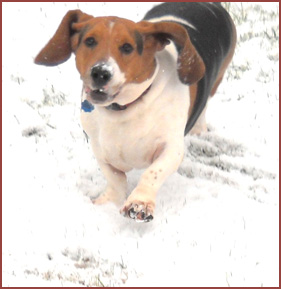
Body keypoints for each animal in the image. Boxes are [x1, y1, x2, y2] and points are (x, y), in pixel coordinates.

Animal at [35, 3, 236, 222]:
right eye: (90, 41)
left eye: (127, 47)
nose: (100, 73)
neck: (126, 108)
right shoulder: (100, 148)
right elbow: (115, 178)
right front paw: (108, 201)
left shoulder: (171, 148)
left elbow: (152, 172)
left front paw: (139, 203)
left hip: (217, 81)